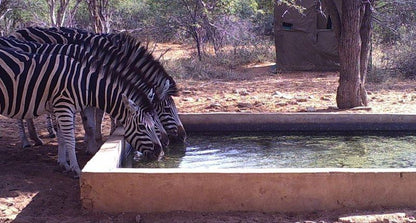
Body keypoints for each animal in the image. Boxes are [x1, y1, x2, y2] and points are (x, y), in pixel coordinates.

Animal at [0, 35, 164, 178]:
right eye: (142, 127)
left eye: (154, 123)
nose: (161, 152)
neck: (84, 83)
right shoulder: (64, 106)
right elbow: (71, 137)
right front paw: (76, 168)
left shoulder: (59, 107)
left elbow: (62, 136)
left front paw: (63, 163)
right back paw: (26, 142)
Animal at [13, 27, 186, 143]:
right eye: (167, 109)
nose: (183, 137)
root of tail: (17, 31)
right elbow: (97, 114)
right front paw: (96, 138)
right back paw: (28, 140)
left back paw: (42, 135)